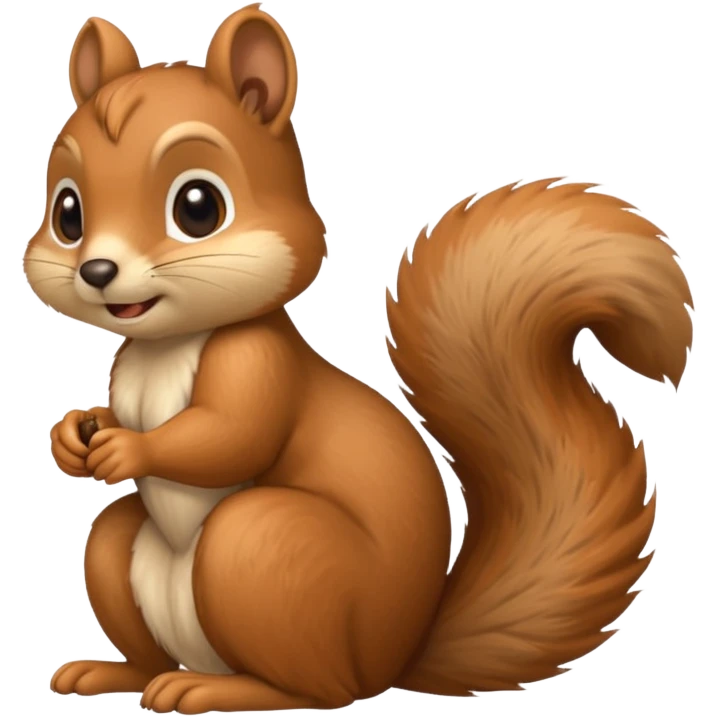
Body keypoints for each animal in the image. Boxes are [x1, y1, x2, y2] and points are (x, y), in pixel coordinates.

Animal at [25, 4, 694, 715]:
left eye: (198, 206)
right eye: (67, 212)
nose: (97, 271)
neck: (167, 344)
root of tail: (397, 656)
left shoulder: (258, 363)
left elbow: (232, 436)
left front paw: (130, 448)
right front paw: (73, 437)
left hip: (261, 547)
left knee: (318, 687)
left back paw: (217, 689)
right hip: (126, 556)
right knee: (125, 575)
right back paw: (113, 672)